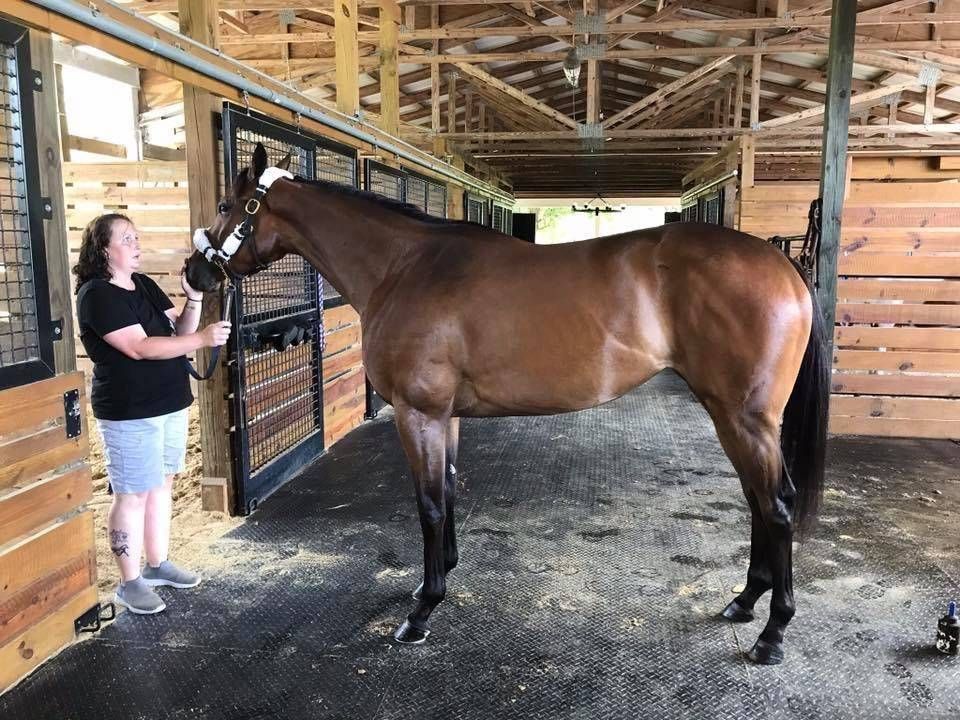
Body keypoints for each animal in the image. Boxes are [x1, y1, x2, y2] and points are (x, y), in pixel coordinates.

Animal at [185, 143, 829, 665]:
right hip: (731, 416)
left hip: (744, 418)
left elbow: (429, 504)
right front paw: (436, 579)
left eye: (227, 205)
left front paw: (422, 613)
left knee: (775, 506)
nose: (194, 272)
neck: (405, 267)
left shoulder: (418, 414)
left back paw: (772, 631)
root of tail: (783, 265)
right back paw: (744, 600)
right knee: (759, 500)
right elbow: (447, 490)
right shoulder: (445, 418)